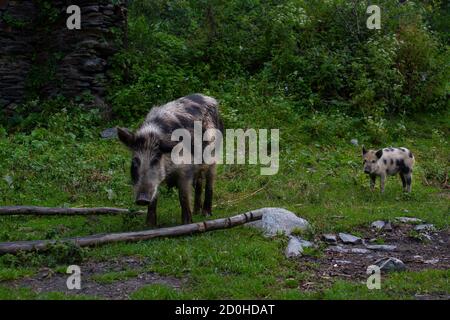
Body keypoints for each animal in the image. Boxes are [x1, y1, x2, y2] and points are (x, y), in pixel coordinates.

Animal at [118, 94, 223, 226]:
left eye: (156, 159)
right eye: (135, 161)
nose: (142, 199)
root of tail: (209, 98)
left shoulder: (185, 169)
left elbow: (183, 196)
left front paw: (187, 223)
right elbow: (154, 200)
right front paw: (150, 225)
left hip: (213, 155)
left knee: (210, 182)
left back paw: (206, 214)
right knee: (199, 182)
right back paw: (196, 212)